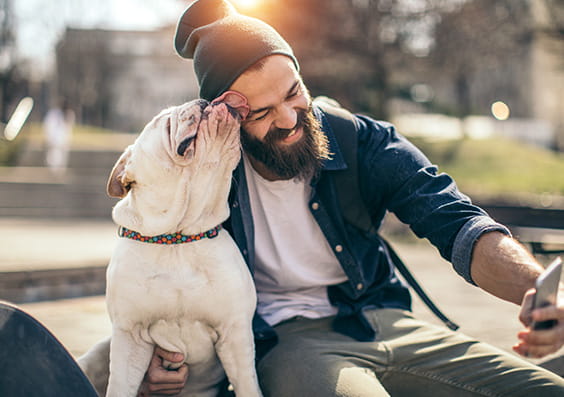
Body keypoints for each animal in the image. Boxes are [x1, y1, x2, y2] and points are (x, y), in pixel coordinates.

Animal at [104, 100, 262, 396]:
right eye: (162, 119)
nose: (202, 101)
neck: (176, 239)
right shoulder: (129, 335)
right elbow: (118, 386)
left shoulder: (235, 334)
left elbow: (248, 387)